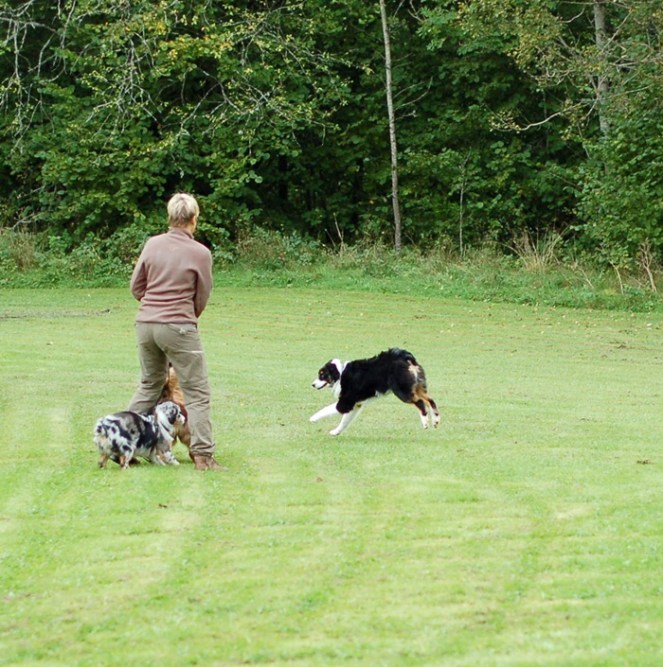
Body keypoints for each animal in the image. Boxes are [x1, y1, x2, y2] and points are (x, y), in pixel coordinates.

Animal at [310, 348, 440, 436]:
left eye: (322, 375)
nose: (313, 384)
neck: (340, 373)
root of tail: (406, 357)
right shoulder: (356, 404)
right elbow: (345, 421)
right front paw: (336, 432)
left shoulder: (346, 402)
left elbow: (326, 409)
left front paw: (313, 418)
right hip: (416, 387)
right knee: (431, 401)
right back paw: (436, 420)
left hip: (402, 391)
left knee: (420, 403)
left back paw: (425, 422)